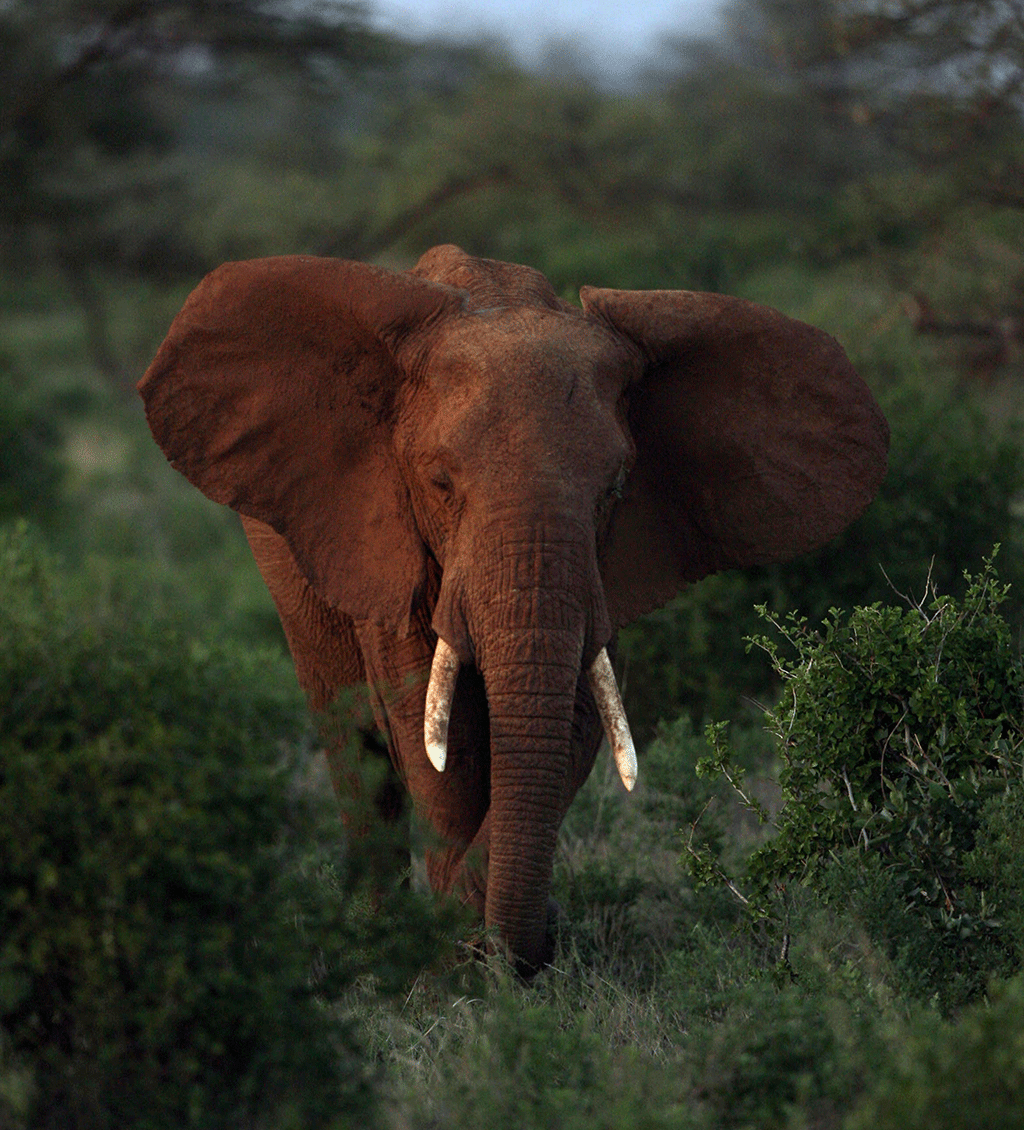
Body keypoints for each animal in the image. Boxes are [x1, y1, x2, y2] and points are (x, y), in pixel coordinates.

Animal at [135, 245, 886, 971]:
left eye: (616, 488)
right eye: (439, 482)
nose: (531, 945)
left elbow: (579, 716)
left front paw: (493, 943)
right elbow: (432, 734)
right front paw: (450, 962)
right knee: (352, 742)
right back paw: (373, 947)